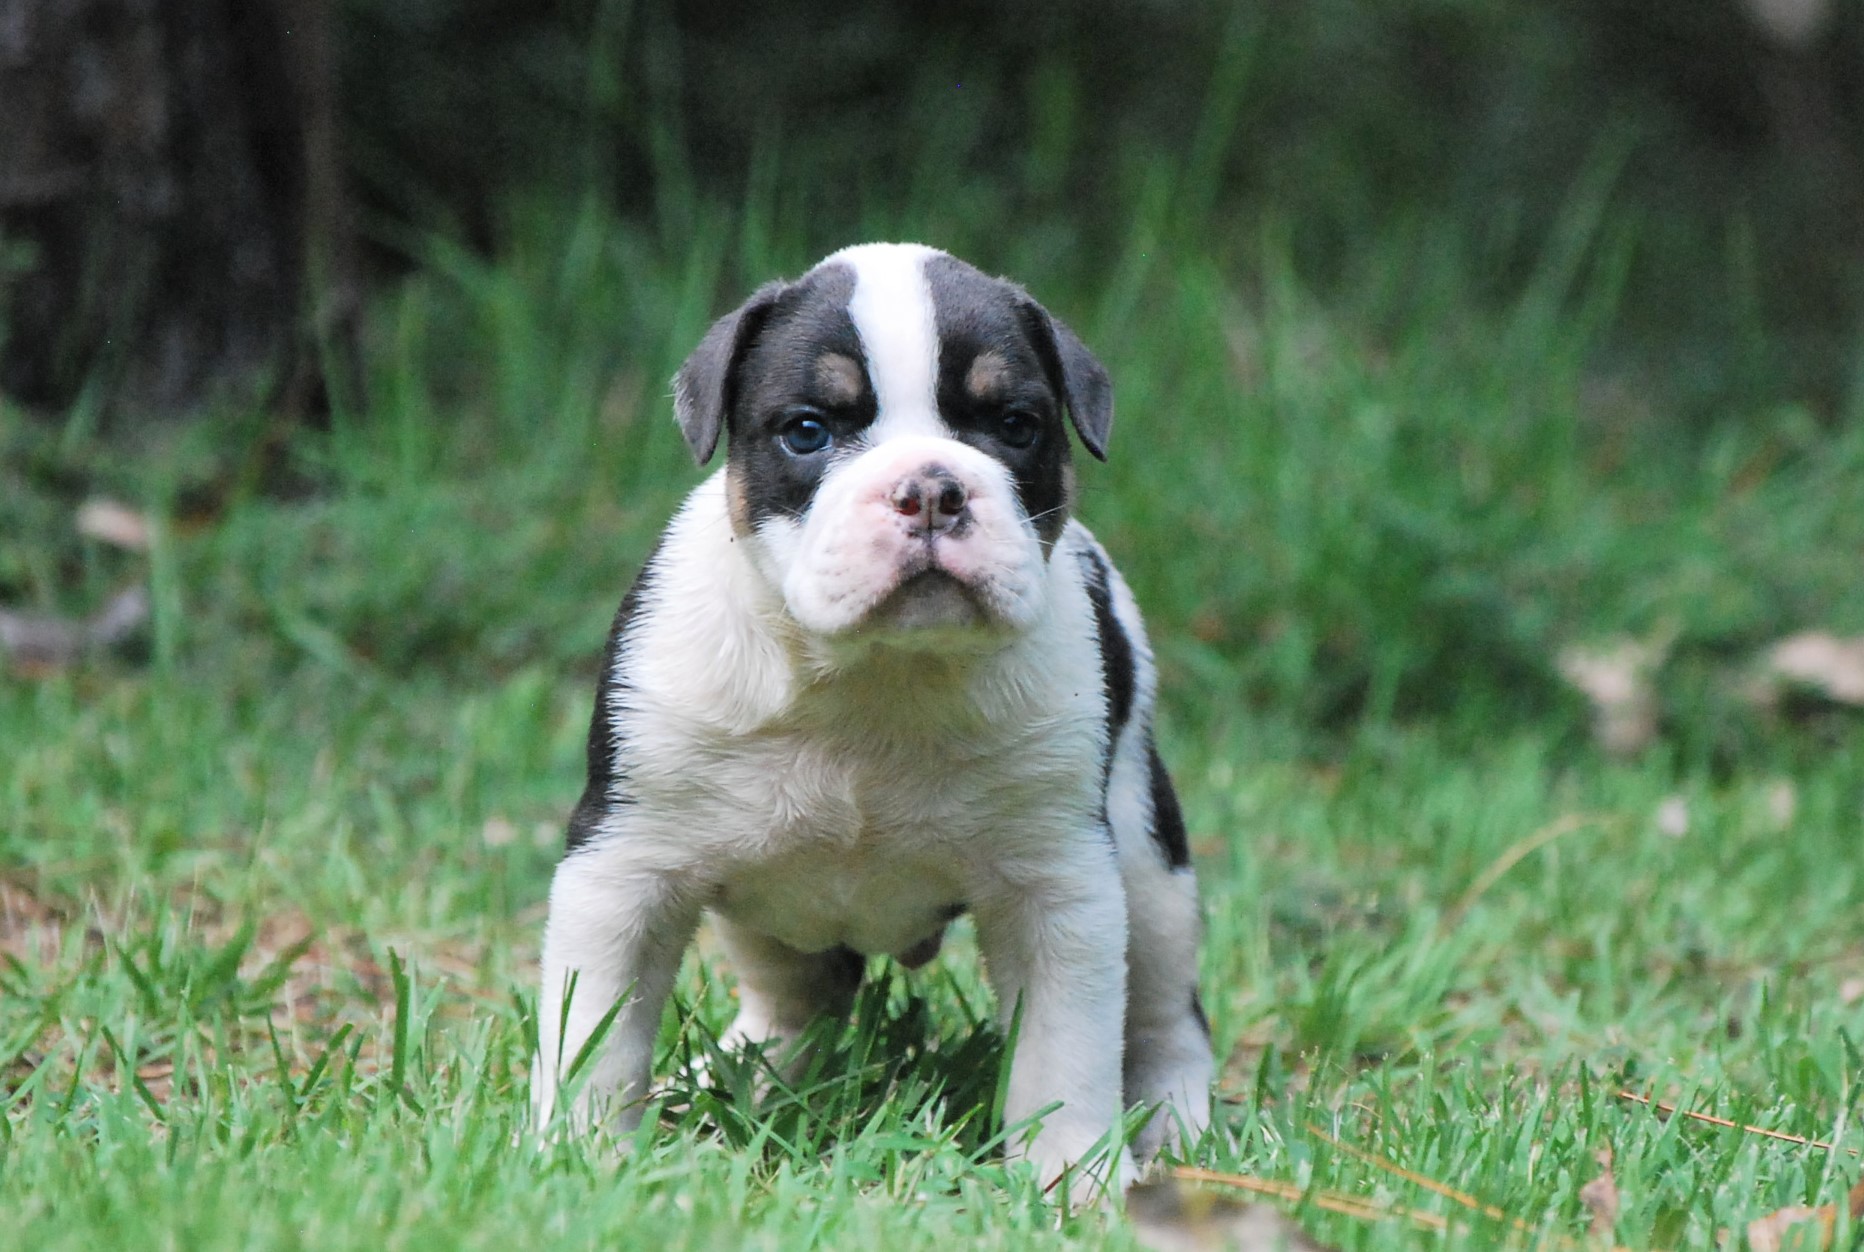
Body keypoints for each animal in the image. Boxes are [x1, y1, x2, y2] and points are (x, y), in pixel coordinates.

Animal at [533, 240, 1215, 1184]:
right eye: (808, 431)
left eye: (1016, 426)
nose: (930, 489)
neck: (877, 673)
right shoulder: (623, 873)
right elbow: (595, 1041)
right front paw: (577, 1160)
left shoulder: (1060, 890)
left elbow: (1064, 1057)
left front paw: (1073, 1180)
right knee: (794, 998)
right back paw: (733, 1078)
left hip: (1149, 869)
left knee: (1166, 1014)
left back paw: (1174, 1120)